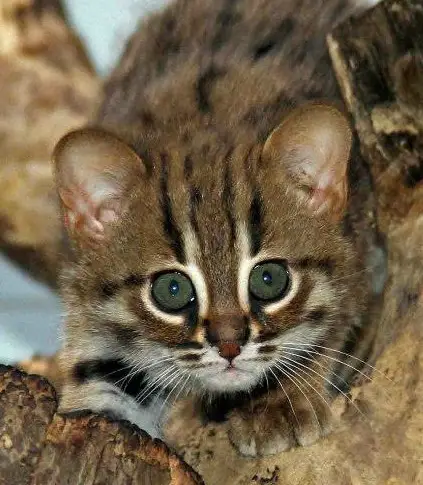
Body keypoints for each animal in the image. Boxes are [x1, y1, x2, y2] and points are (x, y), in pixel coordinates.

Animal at [52, 0, 384, 458]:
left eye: (269, 279)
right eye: (172, 289)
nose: (229, 346)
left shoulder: (358, 243)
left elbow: (332, 321)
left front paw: (279, 402)